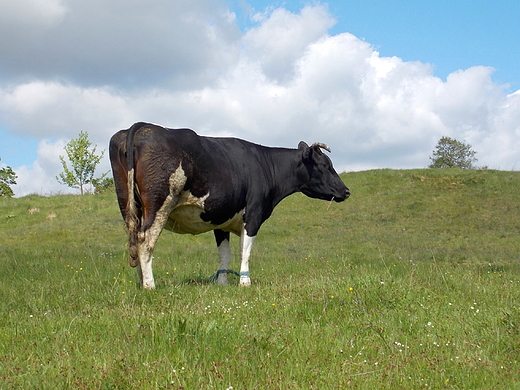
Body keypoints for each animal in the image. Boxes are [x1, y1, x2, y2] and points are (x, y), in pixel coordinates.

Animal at [108, 122, 350, 290]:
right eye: (325, 165)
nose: (346, 191)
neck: (265, 165)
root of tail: (140, 127)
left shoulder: (220, 219)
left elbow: (224, 254)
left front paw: (222, 283)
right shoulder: (253, 214)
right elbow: (245, 251)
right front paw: (245, 283)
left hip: (127, 203)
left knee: (133, 237)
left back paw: (141, 283)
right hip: (159, 203)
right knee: (145, 240)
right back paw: (150, 285)